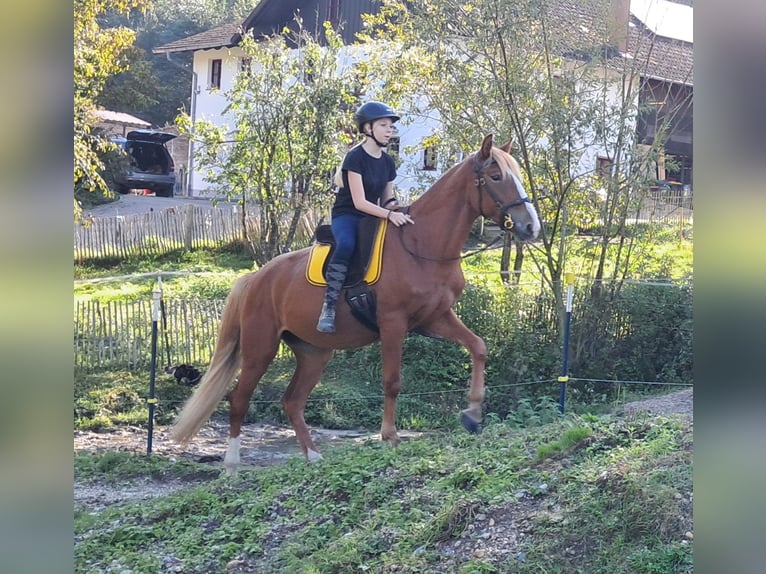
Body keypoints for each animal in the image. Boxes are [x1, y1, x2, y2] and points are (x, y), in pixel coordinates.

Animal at [172, 134, 540, 472]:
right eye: (496, 176)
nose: (530, 226)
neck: (421, 245)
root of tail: (255, 279)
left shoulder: (437, 317)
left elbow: (478, 347)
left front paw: (473, 413)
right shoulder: (393, 323)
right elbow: (392, 382)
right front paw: (389, 436)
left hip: (314, 353)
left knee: (292, 401)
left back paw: (313, 456)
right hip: (259, 348)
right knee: (239, 398)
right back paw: (232, 463)